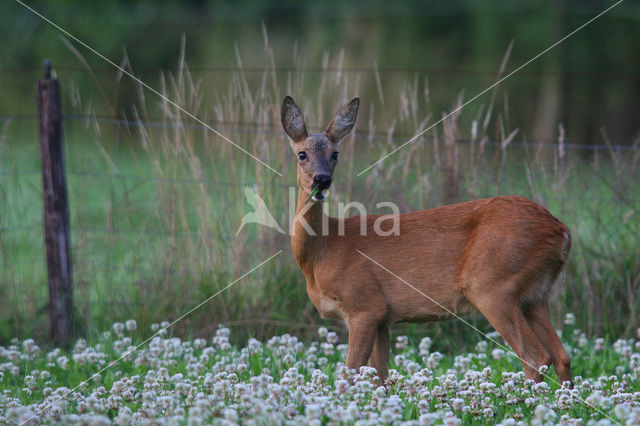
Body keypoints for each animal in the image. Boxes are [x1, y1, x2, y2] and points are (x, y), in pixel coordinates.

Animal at [282, 95, 572, 386]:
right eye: (302, 154)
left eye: (335, 154)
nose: (322, 180)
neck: (324, 249)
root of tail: (562, 231)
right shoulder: (383, 318)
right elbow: (379, 377)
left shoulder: (364, 305)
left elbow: (351, 373)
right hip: (536, 295)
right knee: (562, 355)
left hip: (494, 285)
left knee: (536, 356)